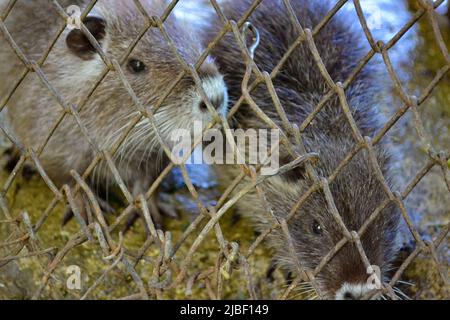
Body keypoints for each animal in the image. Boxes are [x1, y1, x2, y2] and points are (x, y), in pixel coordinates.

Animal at [0, 0, 229, 226]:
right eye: (136, 64)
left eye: (192, 40)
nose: (215, 96)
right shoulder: (46, 133)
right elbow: (66, 176)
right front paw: (89, 208)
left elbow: (148, 180)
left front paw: (150, 209)